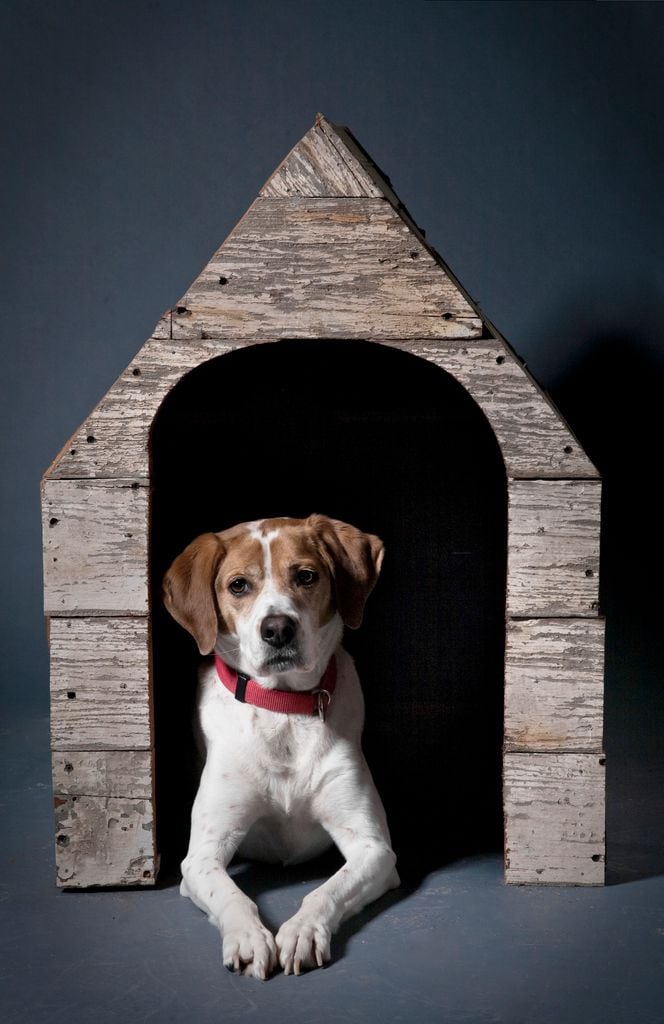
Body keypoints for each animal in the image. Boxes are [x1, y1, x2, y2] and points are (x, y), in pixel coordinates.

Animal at [161, 516, 399, 978]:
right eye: (238, 585)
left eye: (306, 576)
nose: (277, 629)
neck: (283, 709)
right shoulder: (201, 857)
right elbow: (232, 896)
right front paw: (249, 937)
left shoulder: (374, 848)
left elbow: (326, 891)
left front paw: (303, 931)